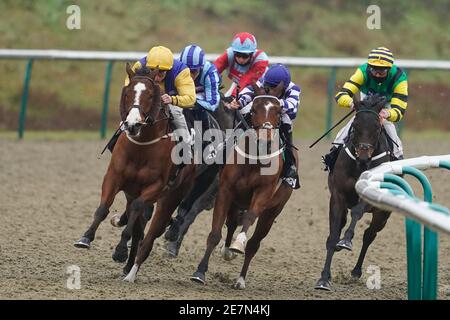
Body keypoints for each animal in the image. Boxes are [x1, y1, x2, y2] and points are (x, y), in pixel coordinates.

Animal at [74, 64, 196, 276]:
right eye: (128, 93)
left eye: (151, 95)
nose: (132, 124)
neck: (141, 146)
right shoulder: (114, 177)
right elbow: (103, 208)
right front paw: (86, 237)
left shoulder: (155, 187)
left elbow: (137, 210)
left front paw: (120, 250)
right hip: (132, 192)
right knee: (138, 227)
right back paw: (129, 265)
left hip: (171, 197)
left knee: (151, 228)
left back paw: (132, 265)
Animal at [189, 83, 296, 290]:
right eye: (254, 110)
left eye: (278, 112)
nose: (265, 139)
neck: (255, 159)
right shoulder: (225, 191)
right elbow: (214, 234)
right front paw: (200, 272)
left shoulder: (263, 193)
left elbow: (249, 218)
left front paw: (238, 244)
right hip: (236, 202)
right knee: (231, 223)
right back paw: (227, 251)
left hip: (272, 211)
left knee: (254, 243)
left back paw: (240, 278)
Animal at [314, 94, 392, 292]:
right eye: (355, 125)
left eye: (377, 127)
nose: (364, 155)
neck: (360, 165)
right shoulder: (338, 197)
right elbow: (333, 236)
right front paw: (324, 278)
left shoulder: (369, 197)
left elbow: (357, 213)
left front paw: (346, 241)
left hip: (382, 214)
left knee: (369, 235)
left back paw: (356, 270)